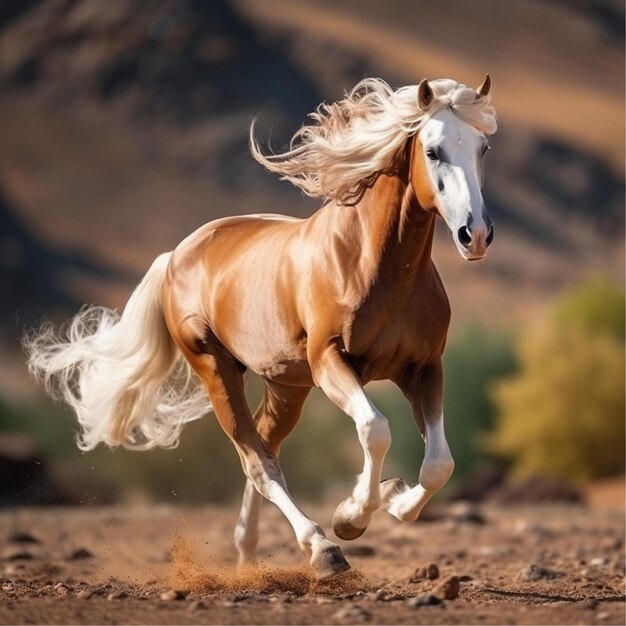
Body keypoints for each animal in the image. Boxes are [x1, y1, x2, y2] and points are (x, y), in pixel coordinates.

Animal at [25, 75, 498, 576]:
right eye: (433, 150)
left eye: (483, 148)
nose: (476, 235)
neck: (373, 263)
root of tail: (174, 256)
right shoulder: (331, 361)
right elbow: (375, 429)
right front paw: (350, 518)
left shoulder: (423, 368)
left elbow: (439, 464)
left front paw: (390, 496)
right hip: (217, 369)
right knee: (256, 459)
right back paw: (321, 547)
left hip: (287, 385)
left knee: (267, 444)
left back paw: (249, 549)